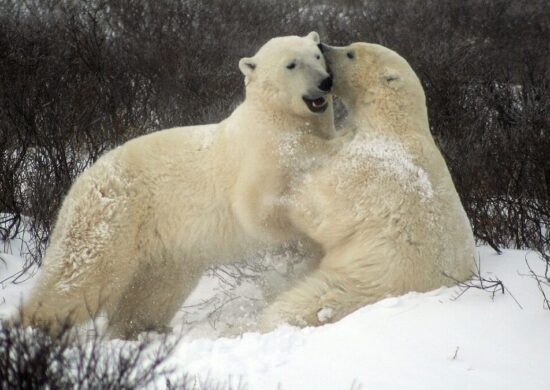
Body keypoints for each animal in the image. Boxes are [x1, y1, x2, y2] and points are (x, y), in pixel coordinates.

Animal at [21, 32, 342, 340]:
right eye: (291, 64)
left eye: (316, 55)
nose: (325, 82)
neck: (276, 117)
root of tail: (79, 181)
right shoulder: (260, 153)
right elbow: (259, 210)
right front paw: (298, 247)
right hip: (112, 219)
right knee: (79, 277)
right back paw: (32, 328)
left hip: (166, 250)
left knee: (155, 292)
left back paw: (141, 329)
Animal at [260, 42, 476, 330]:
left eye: (350, 52)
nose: (322, 46)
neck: (393, 123)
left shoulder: (369, 168)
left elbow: (323, 208)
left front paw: (287, 191)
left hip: (358, 282)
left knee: (302, 303)